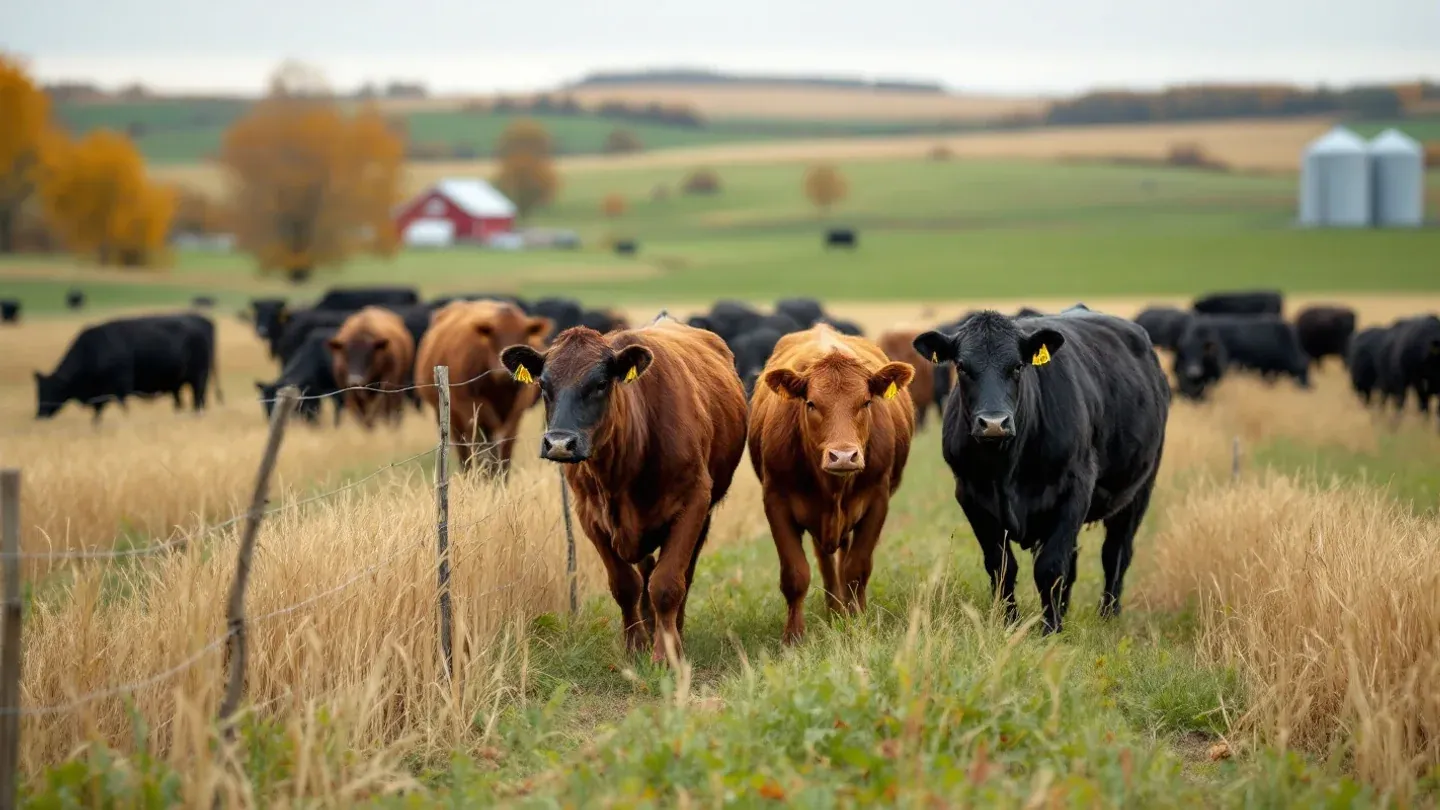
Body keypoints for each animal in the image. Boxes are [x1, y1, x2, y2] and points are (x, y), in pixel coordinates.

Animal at [34, 314, 216, 422]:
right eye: (39, 391)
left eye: (51, 390)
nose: (39, 415)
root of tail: (199, 328)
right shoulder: (100, 395)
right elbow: (97, 415)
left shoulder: (121, 388)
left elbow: (123, 409)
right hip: (179, 384)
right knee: (183, 403)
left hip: (198, 378)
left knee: (197, 401)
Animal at [415, 301, 552, 473]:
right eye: (493, 337)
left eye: (522, 336)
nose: (503, 372)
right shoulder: (472, 410)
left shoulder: (516, 413)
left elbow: (504, 451)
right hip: (451, 420)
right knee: (466, 452)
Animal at [500, 315, 748, 662]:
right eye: (544, 386)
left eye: (600, 384)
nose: (560, 443)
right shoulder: (589, 515)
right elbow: (625, 585)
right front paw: (635, 645)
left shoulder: (694, 502)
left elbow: (667, 583)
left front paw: (666, 651)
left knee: (682, 573)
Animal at [749, 325, 915, 642]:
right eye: (811, 403)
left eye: (866, 401)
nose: (844, 456)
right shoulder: (775, 502)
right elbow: (796, 574)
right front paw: (794, 636)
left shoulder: (877, 501)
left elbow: (856, 569)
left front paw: (856, 622)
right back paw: (833, 609)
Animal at [913, 307, 1169, 634]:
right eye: (961, 366)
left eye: (1017, 366)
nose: (994, 423)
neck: (1005, 470)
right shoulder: (971, 497)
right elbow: (1002, 566)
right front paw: (1011, 624)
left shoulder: (1074, 491)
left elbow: (1050, 566)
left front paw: (1050, 630)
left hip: (1138, 490)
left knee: (1115, 553)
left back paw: (1108, 615)